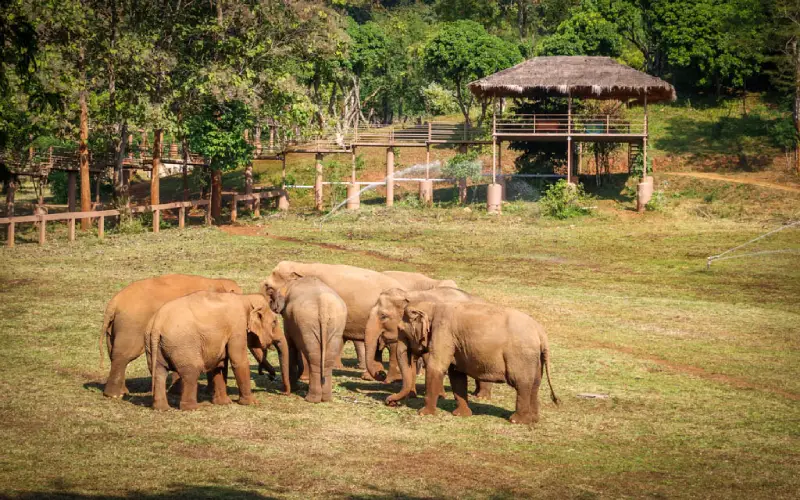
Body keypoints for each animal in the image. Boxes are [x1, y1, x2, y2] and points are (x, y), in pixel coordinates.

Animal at [98, 274, 275, 398]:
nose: (270, 376)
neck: (216, 282)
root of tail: (113, 303)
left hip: (114, 329)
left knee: (115, 355)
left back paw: (123, 392)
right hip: (132, 326)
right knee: (124, 356)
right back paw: (115, 395)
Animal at [146, 292, 288, 411]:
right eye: (274, 322)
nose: (271, 377)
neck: (245, 298)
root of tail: (157, 324)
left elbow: (220, 364)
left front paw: (224, 403)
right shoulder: (237, 326)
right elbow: (238, 361)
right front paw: (252, 403)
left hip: (153, 346)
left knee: (159, 372)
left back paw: (162, 408)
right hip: (184, 347)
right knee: (191, 372)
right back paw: (193, 408)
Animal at [364, 287, 493, 405]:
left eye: (383, 316)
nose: (381, 374)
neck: (408, 294)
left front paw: (440, 396)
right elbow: (411, 360)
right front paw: (411, 395)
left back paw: (482, 396)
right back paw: (476, 393)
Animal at [395, 299, 559, 424]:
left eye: (401, 329)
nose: (391, 402)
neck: (433, 305)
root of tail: (541, 333)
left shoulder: (443, 331)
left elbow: (436, 367)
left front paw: (423, 413)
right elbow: (456, 374)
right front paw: (461, 415)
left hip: (521, 356)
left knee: (522, 384)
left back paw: (516, 420)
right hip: (536, 359)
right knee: (535, 384)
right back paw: (534, 419)